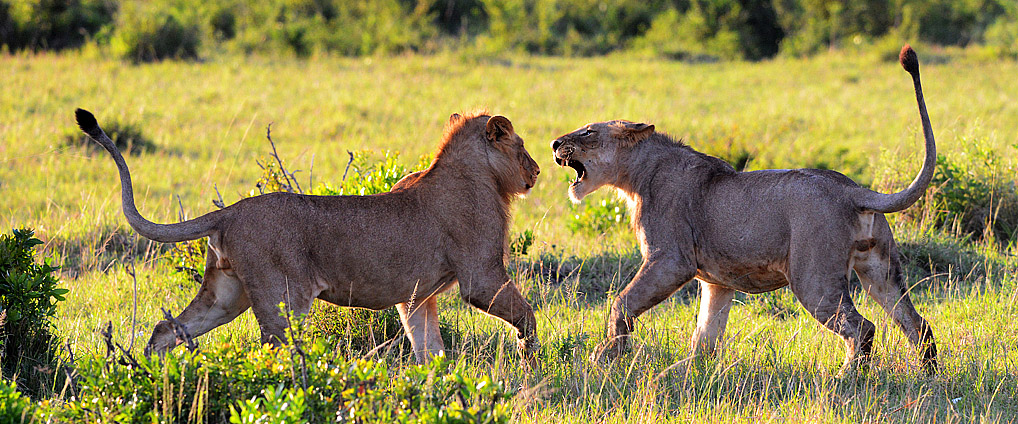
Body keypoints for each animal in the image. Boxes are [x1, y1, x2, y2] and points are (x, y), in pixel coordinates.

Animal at [74, 109, 541, 364]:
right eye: (521, 147)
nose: (536, 170)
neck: (480, 173)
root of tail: (231, 211)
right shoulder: (481, 277)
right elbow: (527, 314)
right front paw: (529, 359)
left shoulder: (416, 297)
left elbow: (430, 350)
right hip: (284, 300)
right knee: (272, 352)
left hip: (226, 294)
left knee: (167, 329)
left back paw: (154, 378)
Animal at [550, 45, 938, 375]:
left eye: (588, 131)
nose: (554, 143)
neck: (635, 175)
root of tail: (853, 189)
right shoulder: (716, 282)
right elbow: (705, 336)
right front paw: (687, 374)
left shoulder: (670, 260)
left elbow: (622, 303)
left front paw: (604, 358)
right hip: (880, 270)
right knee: (916, 322)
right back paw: (929, 374)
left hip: (814, 279)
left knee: (863, 327)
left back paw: (846, 377)